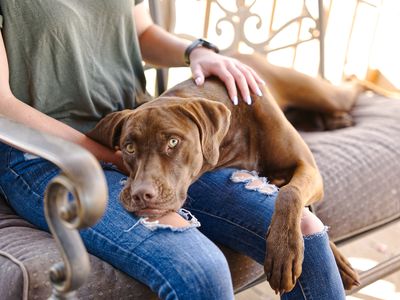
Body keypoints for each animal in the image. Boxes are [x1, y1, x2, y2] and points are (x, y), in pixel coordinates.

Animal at [88, 53, 362, 292]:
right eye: (129, 147)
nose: (141, 195)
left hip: (326, 95)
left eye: (173, 142)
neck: (236, 127)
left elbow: (290, 193)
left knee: (348, 89)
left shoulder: (308, 168)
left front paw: (285, 250)